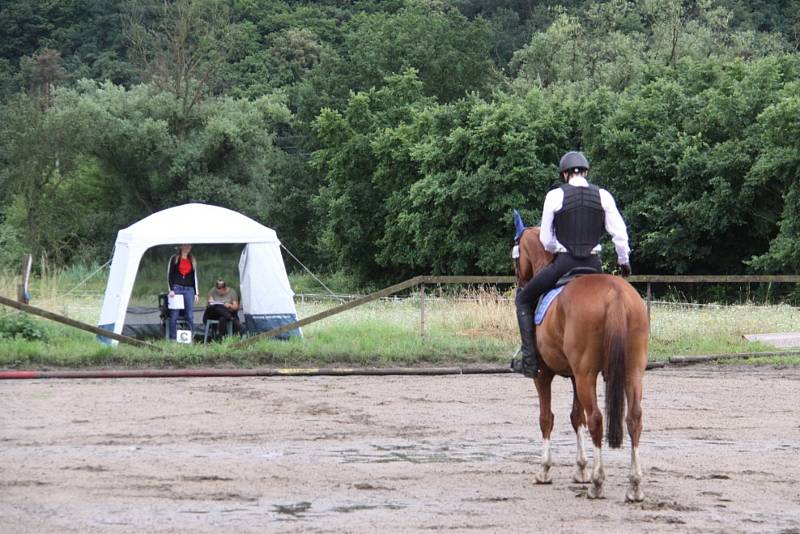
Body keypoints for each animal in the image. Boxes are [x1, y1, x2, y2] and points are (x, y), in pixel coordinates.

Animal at [512, 227, 648, 502]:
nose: (519, 282)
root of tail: (615, 293)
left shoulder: (544, 375)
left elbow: (547, 417)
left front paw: (545, 469)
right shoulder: (575, 375)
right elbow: (576, 417)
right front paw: (581, 469)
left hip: (587, 374)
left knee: (596, 418)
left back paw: (598, 482)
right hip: (631, 372)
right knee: (633, 419)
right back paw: (634, 485)